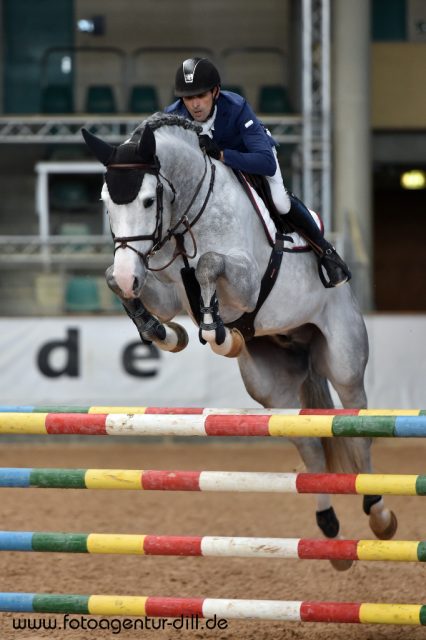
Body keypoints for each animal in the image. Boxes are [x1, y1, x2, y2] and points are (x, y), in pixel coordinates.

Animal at [82, 111, 396, 568]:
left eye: (147, 201)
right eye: (107, 201)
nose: (130, 273)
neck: (186, 218)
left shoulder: (245, 283)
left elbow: (210, 264)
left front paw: (217, 331)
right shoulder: (166, 293)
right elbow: (122, 286)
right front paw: (163, 333)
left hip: (344, 360)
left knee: (356, 429)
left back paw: (379, 512)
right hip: (271, 385)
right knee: (308, 442)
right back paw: (330, 532)